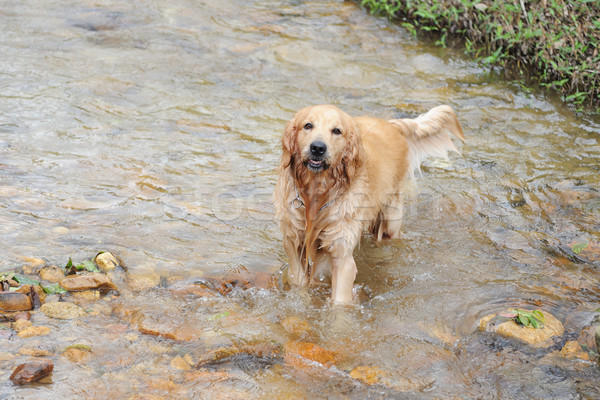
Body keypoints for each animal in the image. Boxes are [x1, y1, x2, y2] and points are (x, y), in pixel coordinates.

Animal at [272, 104, 464, 304]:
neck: (318, 194)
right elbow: (299, 282)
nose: (318, 148)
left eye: (336, 131)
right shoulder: (293, 242)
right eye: (308, 126)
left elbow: (340, 301)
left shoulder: (342, 254)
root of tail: (392, 125)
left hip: (391, 219)